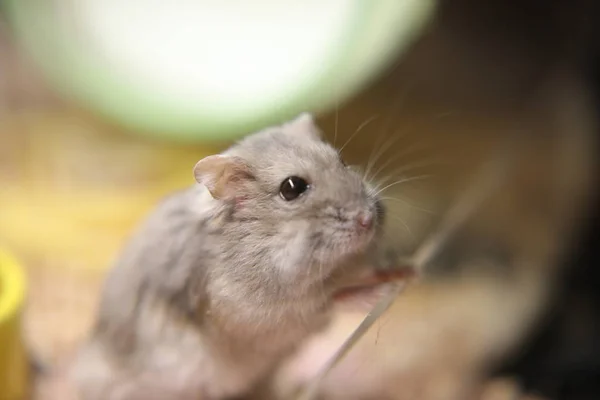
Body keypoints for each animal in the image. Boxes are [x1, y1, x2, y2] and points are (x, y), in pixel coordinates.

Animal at [71, 112, 384, 400]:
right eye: (292, 188)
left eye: (341, 161)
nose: (368, 219)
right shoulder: (263, 314)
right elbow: (332, 297)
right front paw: (378, 291)